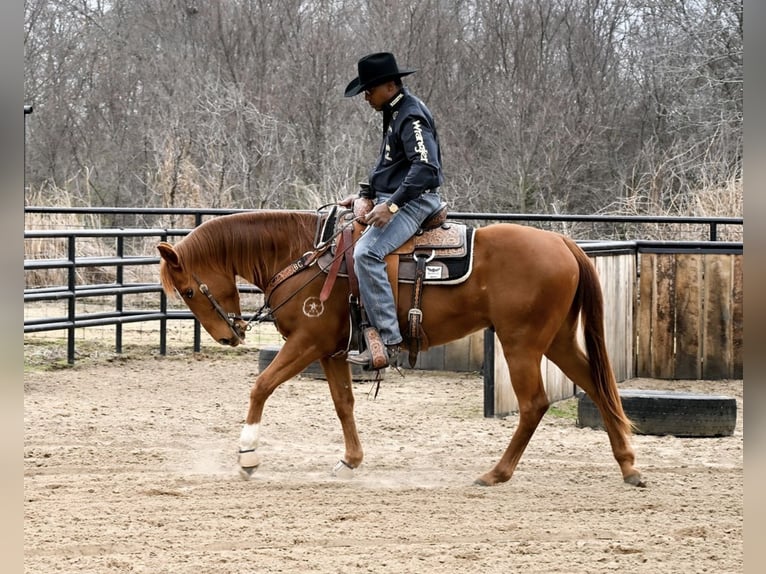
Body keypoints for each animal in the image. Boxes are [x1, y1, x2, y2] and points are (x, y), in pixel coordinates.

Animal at [157, 209, 645, 487]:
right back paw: (628, 468)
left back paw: (496, 473)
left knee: (534, 404)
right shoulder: (331, 350)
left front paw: (248, 457)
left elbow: (261, 385)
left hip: (521, 342)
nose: (229, 335)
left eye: (187, 290)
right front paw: (350, 461)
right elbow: (344, 403)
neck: (306, 257)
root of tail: (562, 242)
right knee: (598, 387)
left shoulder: (307, 341)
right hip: (556, 340)